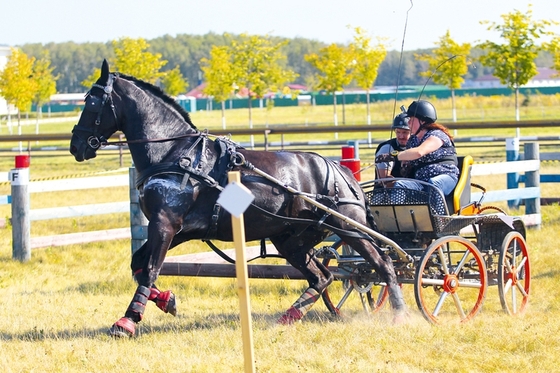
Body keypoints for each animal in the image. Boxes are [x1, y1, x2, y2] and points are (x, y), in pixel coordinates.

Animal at [70, 60, 406, 338]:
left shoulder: (165, 224)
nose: (76, 145)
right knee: (322, 277)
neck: (175, 154)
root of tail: (340, 171)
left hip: (349, 228)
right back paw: (289, 316)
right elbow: (139, 265)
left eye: (92, 102)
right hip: (292, 239)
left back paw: (400, 313)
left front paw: (127, 321)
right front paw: (167, 300)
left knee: (383, 263)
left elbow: (150, 269)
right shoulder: (177, 229)